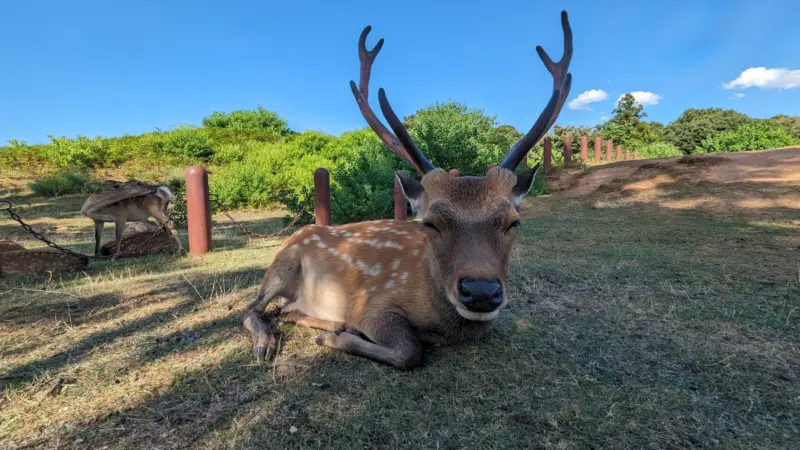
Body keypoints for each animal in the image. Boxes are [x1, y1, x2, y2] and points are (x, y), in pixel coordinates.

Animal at [241, 10, 572, 370]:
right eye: (430, 224)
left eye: (514, 222)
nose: (481, 291)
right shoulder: (369, 303)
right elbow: (409, 350)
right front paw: (336, 338)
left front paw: (339, 332)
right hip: (281, 264)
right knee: (251, 309)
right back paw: (269, 342)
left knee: (284, 310)